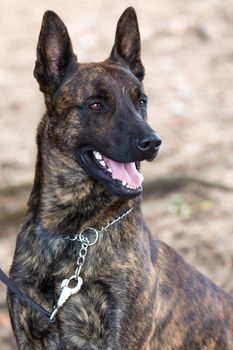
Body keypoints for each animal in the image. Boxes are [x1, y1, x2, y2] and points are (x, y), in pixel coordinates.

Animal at [6, 6, 233, 350]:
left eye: (141, 101)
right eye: (96, 104)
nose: (153, 142)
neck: (73, 234)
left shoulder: (124, 331)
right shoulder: (28, 331)